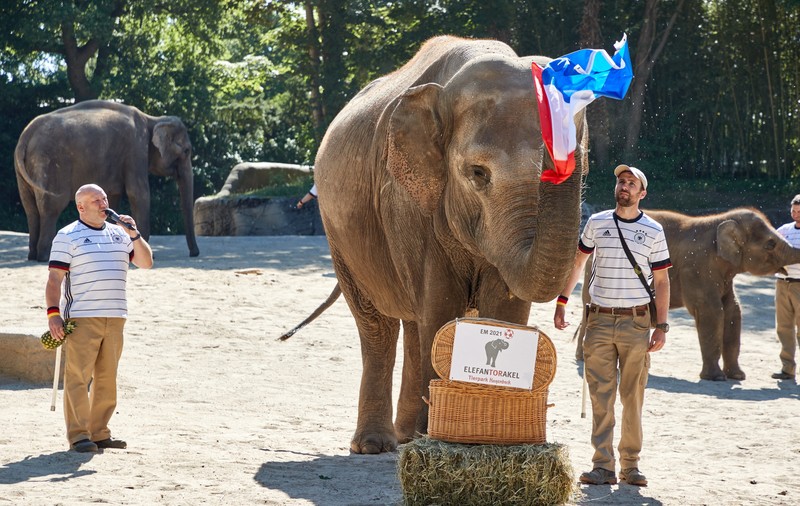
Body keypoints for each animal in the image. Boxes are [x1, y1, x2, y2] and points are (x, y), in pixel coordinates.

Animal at [14, 100, 199, 261]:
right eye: (186, 151)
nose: (194, 253)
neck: (152, 119)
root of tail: (26, 133)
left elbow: (113, 196)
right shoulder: (136, 149)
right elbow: (138, 193)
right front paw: (149, 255)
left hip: (23, 171)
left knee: (30, 209)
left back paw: (32, 255)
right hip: (50, 163)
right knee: (51, 208)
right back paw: (44, 257)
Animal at [313, 35, 588, 454]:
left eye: (586, 166)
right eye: (478, 173)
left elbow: (503, 304)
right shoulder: (405, 200)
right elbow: (441, 303)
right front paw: (439, 432)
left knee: (413, 324)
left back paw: (407, 436)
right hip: (338, 235)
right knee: (378, 325)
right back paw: (376, 444)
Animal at [574, 208, 800, 381]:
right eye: (770, 244)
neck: (718, 221)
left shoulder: (724, 274)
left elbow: (733, 311)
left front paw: (738, 376)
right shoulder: (697, 267)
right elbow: (712, 312)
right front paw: (716, 378)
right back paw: (587, 358)